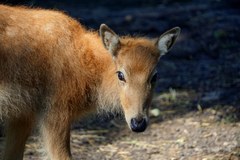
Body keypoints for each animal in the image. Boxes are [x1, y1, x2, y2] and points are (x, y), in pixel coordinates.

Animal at [0, 4, 180, 160]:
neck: (85, 65)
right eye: (120, 74)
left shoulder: (22, 115)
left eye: (154, 76)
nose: (138, 123)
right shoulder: (55, 113)